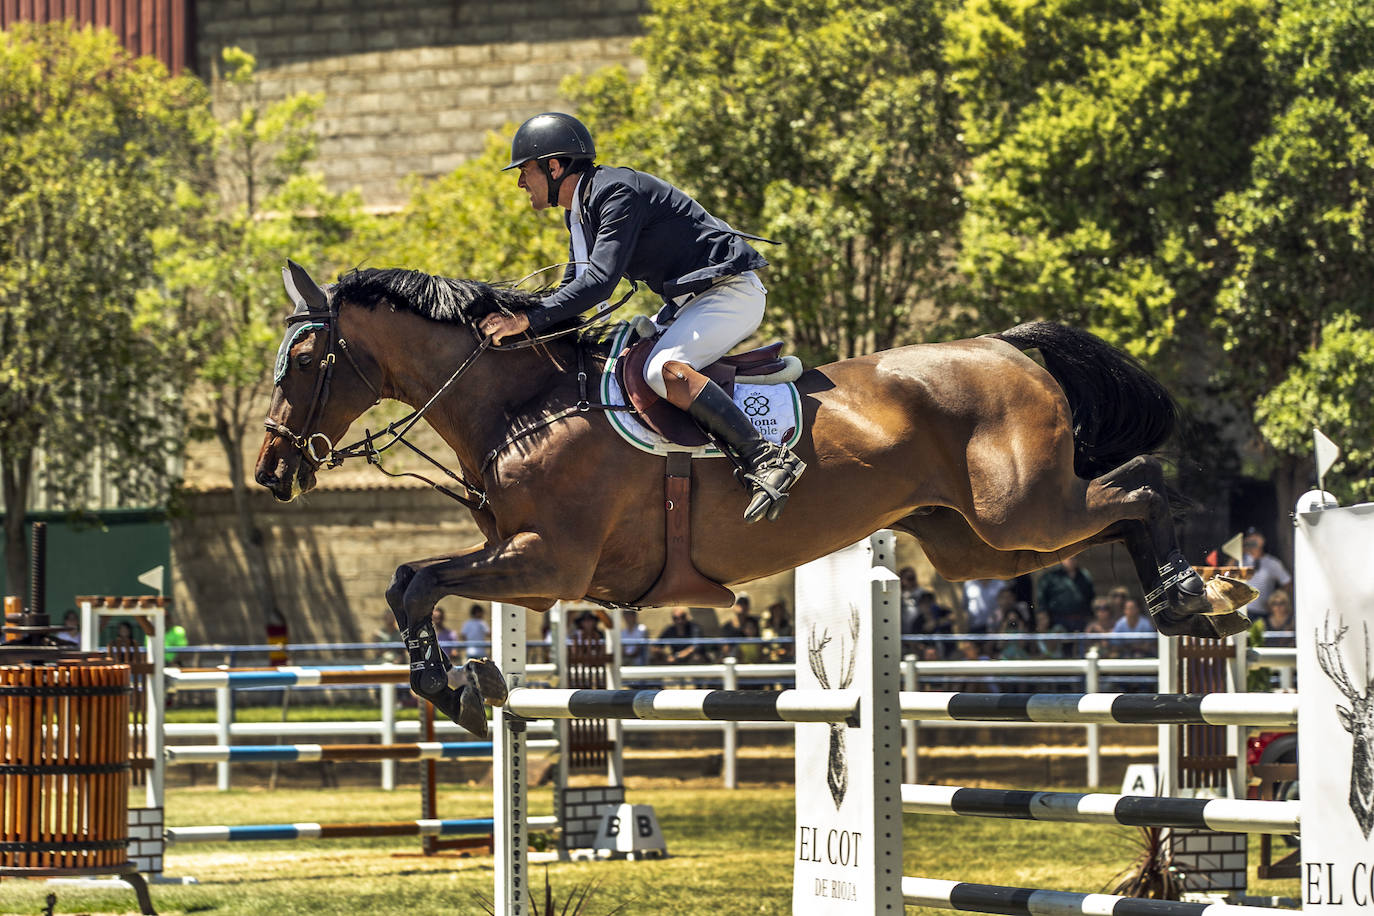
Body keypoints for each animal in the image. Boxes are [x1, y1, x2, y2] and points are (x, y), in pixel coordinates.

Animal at [255, 263, 1258, 736]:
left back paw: (1196, 592)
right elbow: (408, 582)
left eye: (302, 361)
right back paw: (1197, 597)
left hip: (1025, 510)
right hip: (977, 542)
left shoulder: (550, 562)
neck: (518, 404)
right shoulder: (531, 569)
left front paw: (452, 687)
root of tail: (1007, 348)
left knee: (1140, 486)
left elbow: (417, 580)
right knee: (1110, 511)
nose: (270, 470)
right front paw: (469, 682)